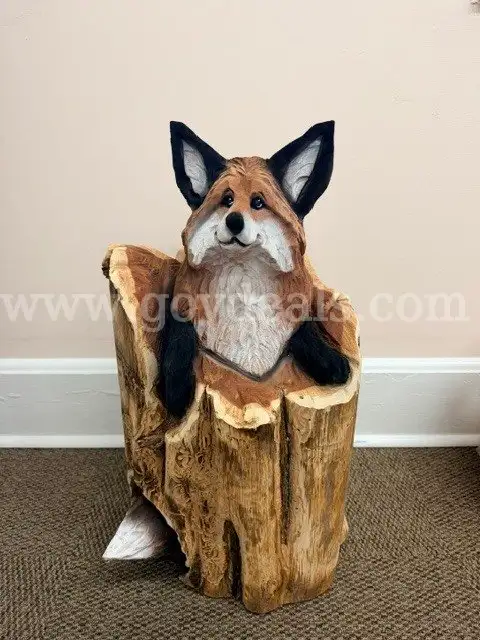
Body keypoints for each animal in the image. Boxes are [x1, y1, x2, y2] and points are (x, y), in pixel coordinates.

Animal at [156, 121, 350, 418]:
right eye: (227, 200)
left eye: (258, 203)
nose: (234, 221)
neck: (242, 278)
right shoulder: (180, 306)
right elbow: (177, 346)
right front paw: (176, 393)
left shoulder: (297, 312)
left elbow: (306, 333)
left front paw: (331, 362)